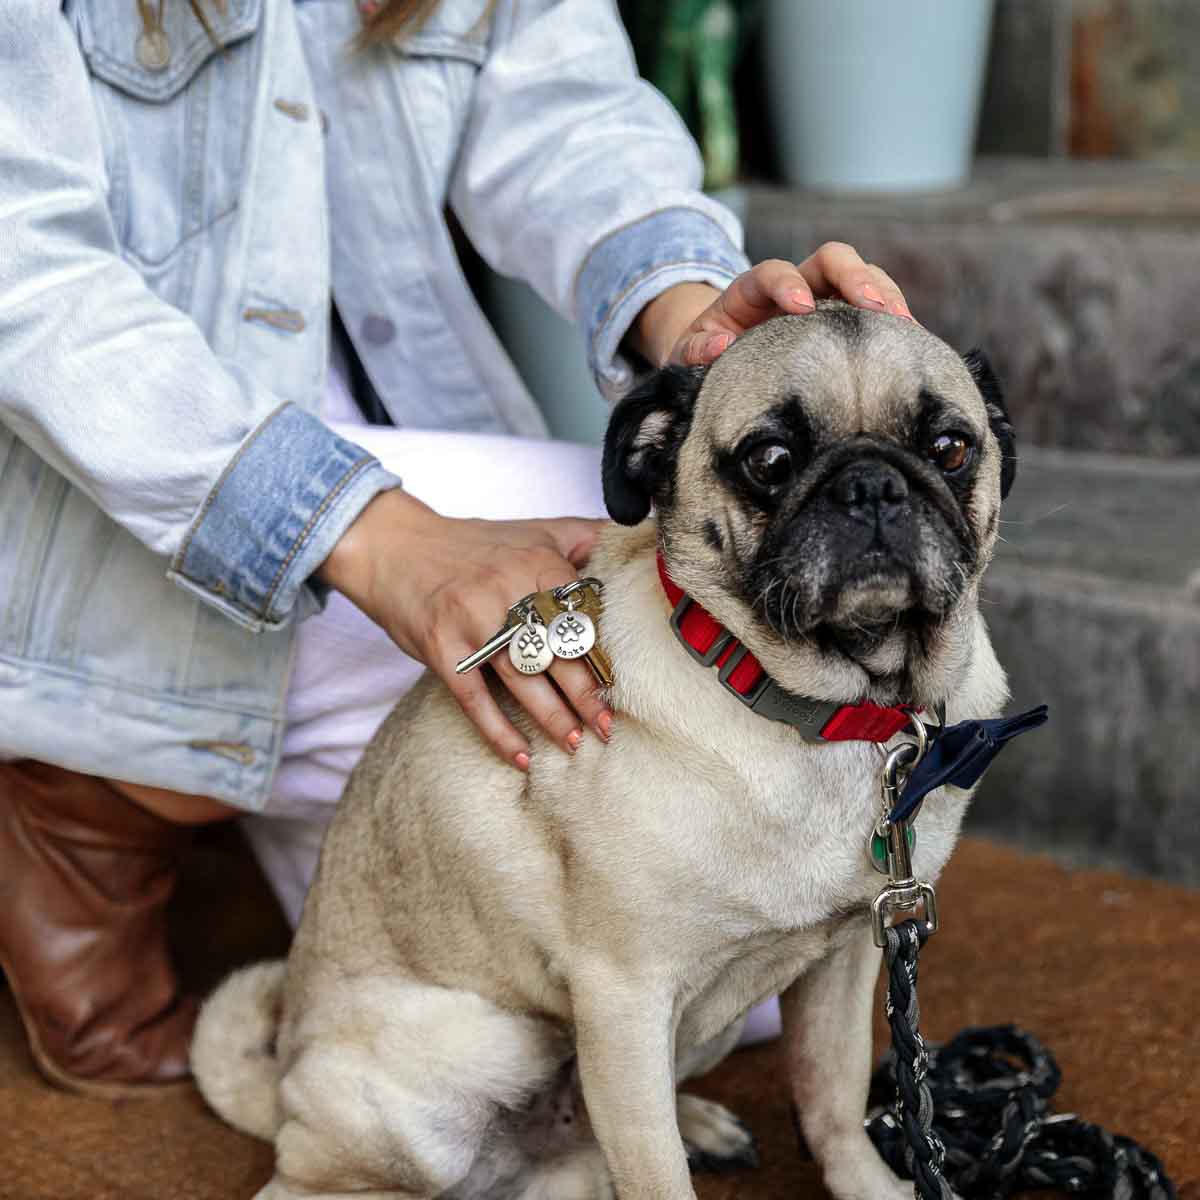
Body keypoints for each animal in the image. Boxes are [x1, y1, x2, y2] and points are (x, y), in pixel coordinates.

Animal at [192, 307, 1017, 1200]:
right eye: (770, 460)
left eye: (950, 448)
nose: (872, 485)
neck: (829, 710)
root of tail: (283, 1086)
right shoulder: (625, 999)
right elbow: (660, 1179)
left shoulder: (846, 960)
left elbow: (830, 1101)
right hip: (478, 1053)